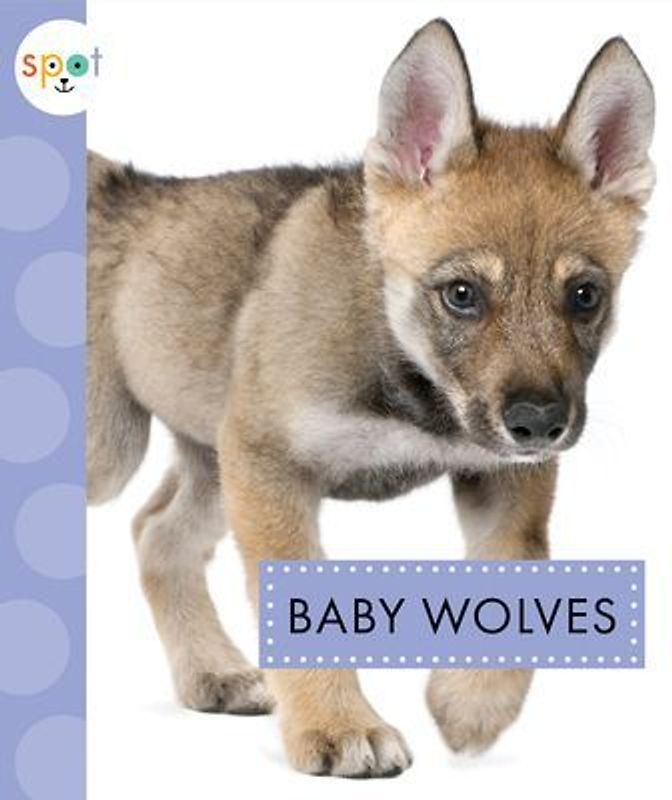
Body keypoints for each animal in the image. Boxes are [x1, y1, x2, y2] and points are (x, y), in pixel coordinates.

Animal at [88, 19, 655, 778]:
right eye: (462, 294)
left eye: (585, 296)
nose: (539, 425)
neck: (410, 381)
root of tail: (124, 187)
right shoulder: (272, 469)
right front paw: (338, 727)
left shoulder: (501, 479)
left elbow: (521, 563)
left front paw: (472, 704)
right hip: (117, 453)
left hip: (212, 461)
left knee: (156, 532)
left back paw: (212, 673)